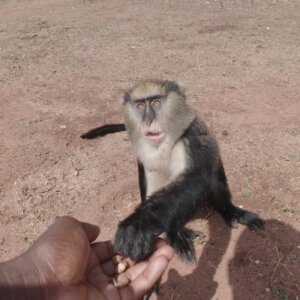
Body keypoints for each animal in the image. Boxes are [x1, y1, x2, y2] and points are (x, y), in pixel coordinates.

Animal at [82, 79, 264, 262]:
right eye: (140, 106)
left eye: (156, 103)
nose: (147, 121)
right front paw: (169, 232)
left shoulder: (192, 135)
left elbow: (195, 178)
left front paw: (138, 224)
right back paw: (176, 233)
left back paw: (229, 210)